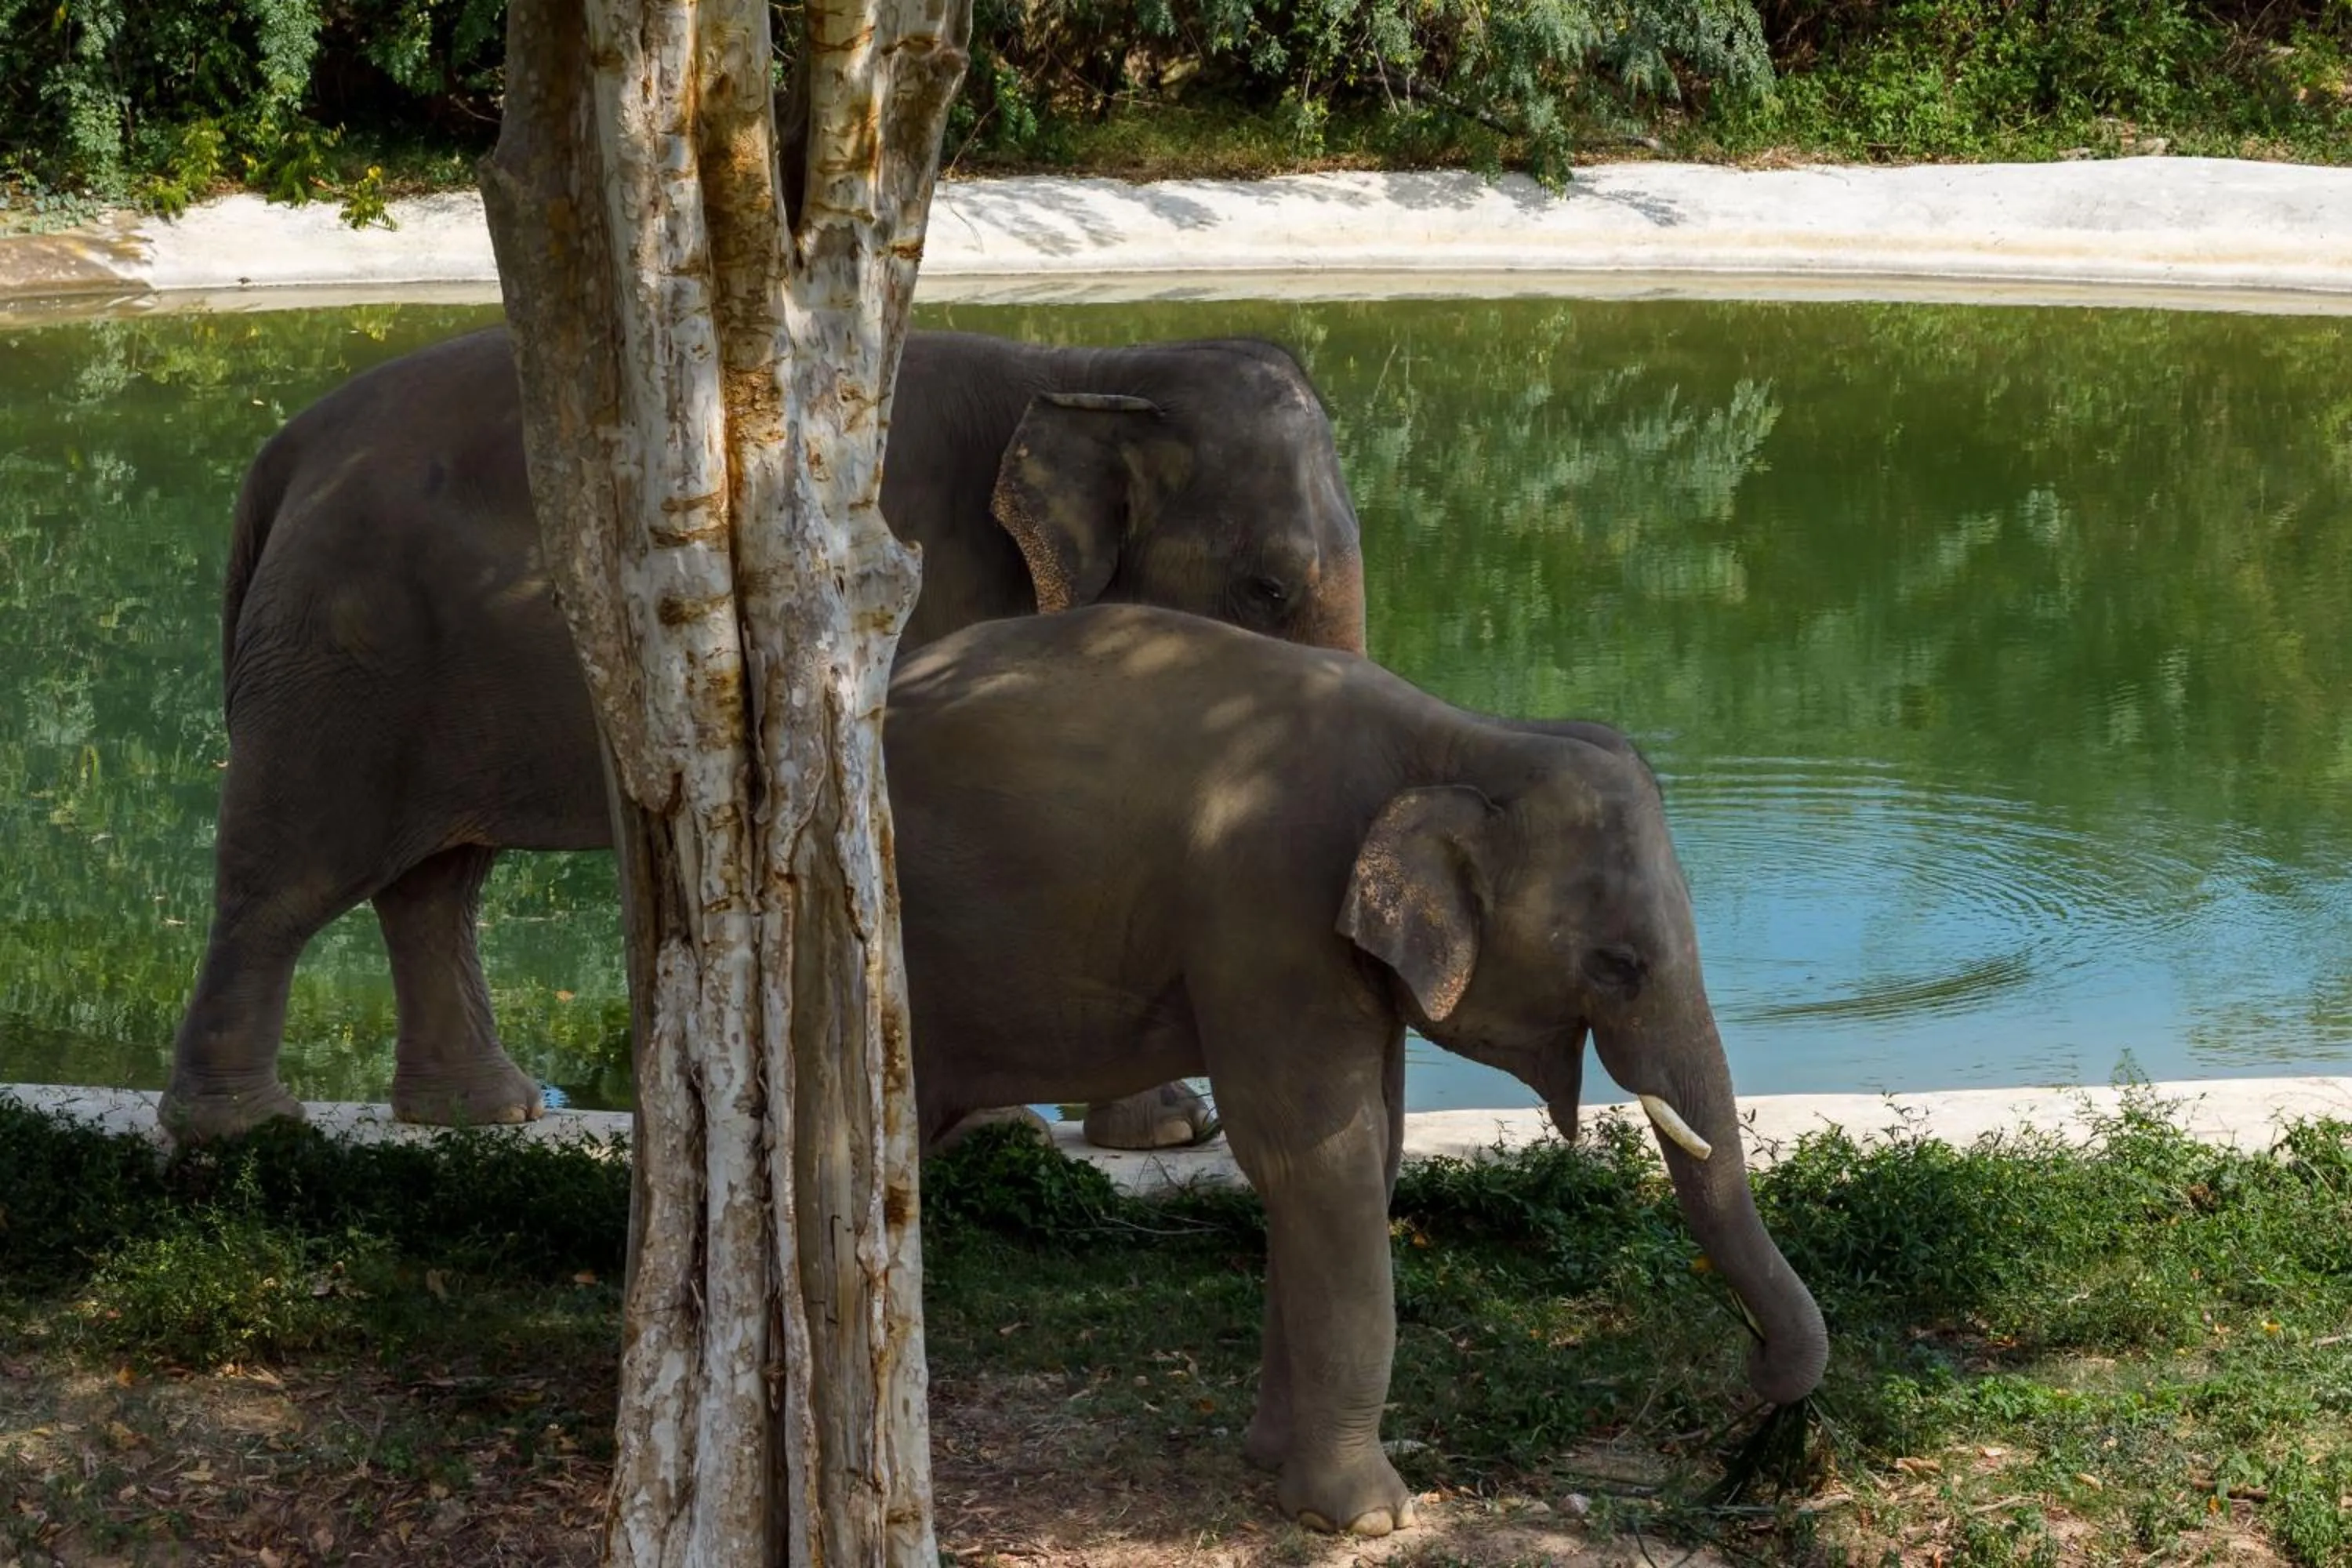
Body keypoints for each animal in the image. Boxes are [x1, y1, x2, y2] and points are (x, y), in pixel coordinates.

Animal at [160, 327, 1365, 1143]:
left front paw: (1165, 1133)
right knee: (290, 877)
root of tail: (284, 452)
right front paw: (1025, 1129)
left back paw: (483, 1114)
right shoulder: (914, 603)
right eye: (1265, 589)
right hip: (339, 655)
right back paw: (243, 1128)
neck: (1090, 363)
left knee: (436, 884)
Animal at [887, 604, 1830, 1536]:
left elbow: (1365, 1155)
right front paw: (1368, 1517)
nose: (1760, 1370)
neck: (1463, 737)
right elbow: (1315, 1159)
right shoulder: (1268, 909)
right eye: (1617, 964)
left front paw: (1273, 1462)